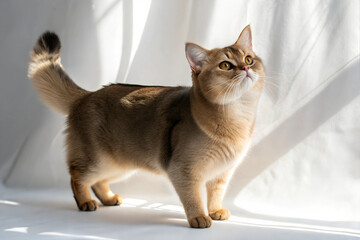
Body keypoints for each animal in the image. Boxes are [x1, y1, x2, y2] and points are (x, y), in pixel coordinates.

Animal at [28, 25, 264, 228]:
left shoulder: (222, 173)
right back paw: (85, 202)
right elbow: (193, 196)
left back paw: (109, 199)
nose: (245, 68)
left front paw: (215, 211)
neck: (238, 117)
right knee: (77, 175)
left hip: (119, 165)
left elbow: (215, 194)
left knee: (97, 182)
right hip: (99, 160)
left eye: (249, 59)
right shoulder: (183, 170)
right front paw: (199, 217)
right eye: (225, 65)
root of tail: (86, 95)